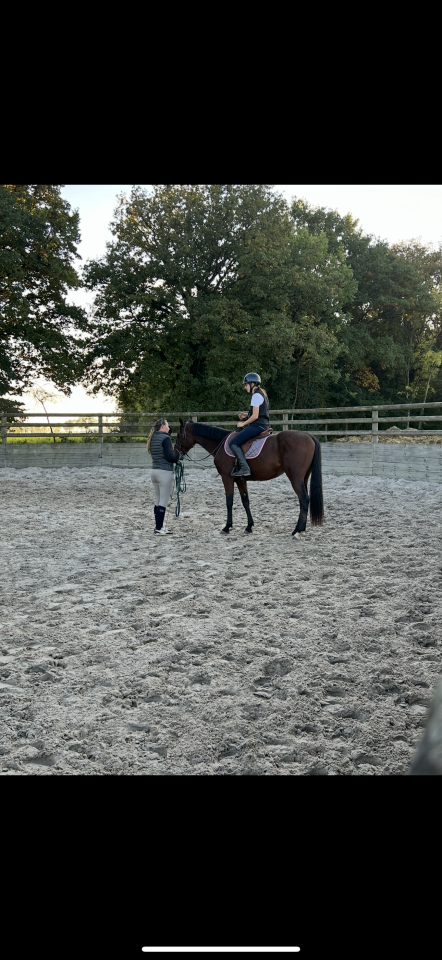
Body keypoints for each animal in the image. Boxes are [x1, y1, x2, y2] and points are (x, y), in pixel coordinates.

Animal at [174, 418, 324, 537]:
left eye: (179, 435)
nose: (175, 454)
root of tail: (309, 436)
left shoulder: (227, 478)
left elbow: (229, 502)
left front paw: (227, 527)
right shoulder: (241, 480)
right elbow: (245, 501)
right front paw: (249, 526)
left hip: (295, 477)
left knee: (304, 500)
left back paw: (298, 530)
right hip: (303, 478)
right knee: (303, 500)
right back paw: (299, 528)